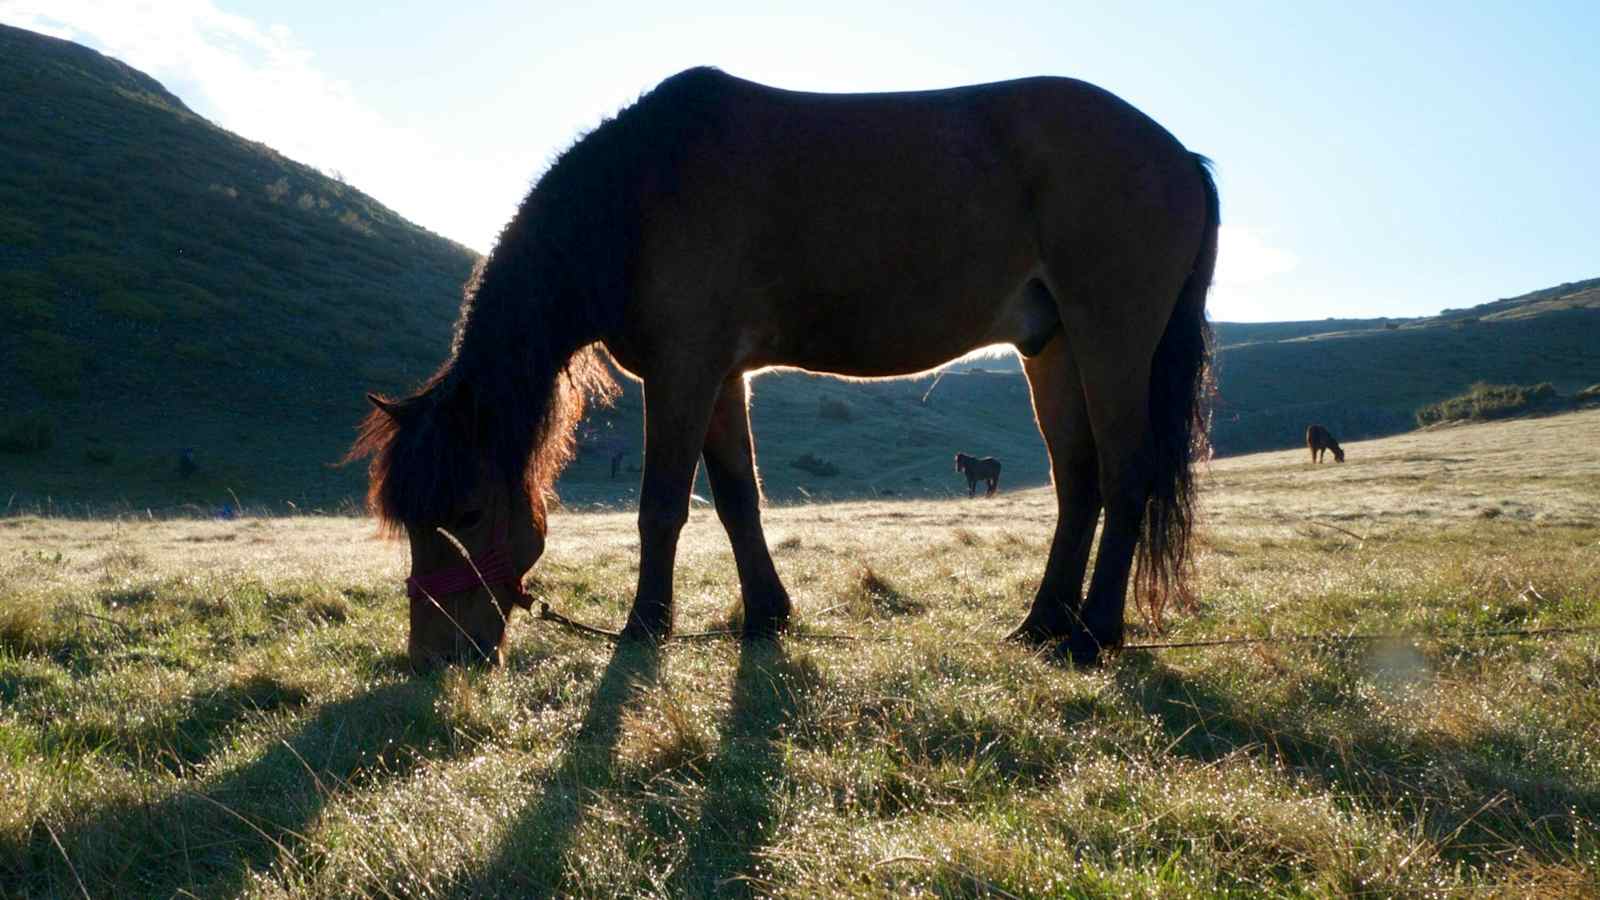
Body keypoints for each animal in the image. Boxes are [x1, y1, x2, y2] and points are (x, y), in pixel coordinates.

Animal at [350, 66, 1216, 666]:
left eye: (466, 514)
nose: (434, 656)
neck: (638, 195)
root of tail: (1182, 157)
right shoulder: (719, 377)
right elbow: (738, 498)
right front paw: (767, 614)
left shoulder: (684, 371)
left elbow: (661, 506)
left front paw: (644, 626)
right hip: (1052, 348)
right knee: (1080, 483)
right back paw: (1042, 624)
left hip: (1111, 338)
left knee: (1126, 476)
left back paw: (1092, 633)